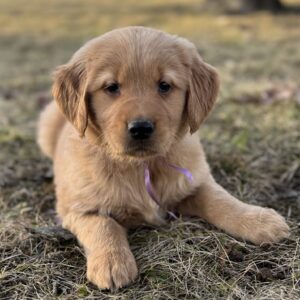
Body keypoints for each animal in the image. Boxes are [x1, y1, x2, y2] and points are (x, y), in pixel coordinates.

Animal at [36, 27, 290, 290]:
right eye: (111, 87)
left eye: (165, 85)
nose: (141, 128)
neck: (141, 166)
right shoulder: (76, 209)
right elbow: (103, 224)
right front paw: (111, 262)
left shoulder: (195, 181)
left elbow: (222, 201)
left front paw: (259, 220)